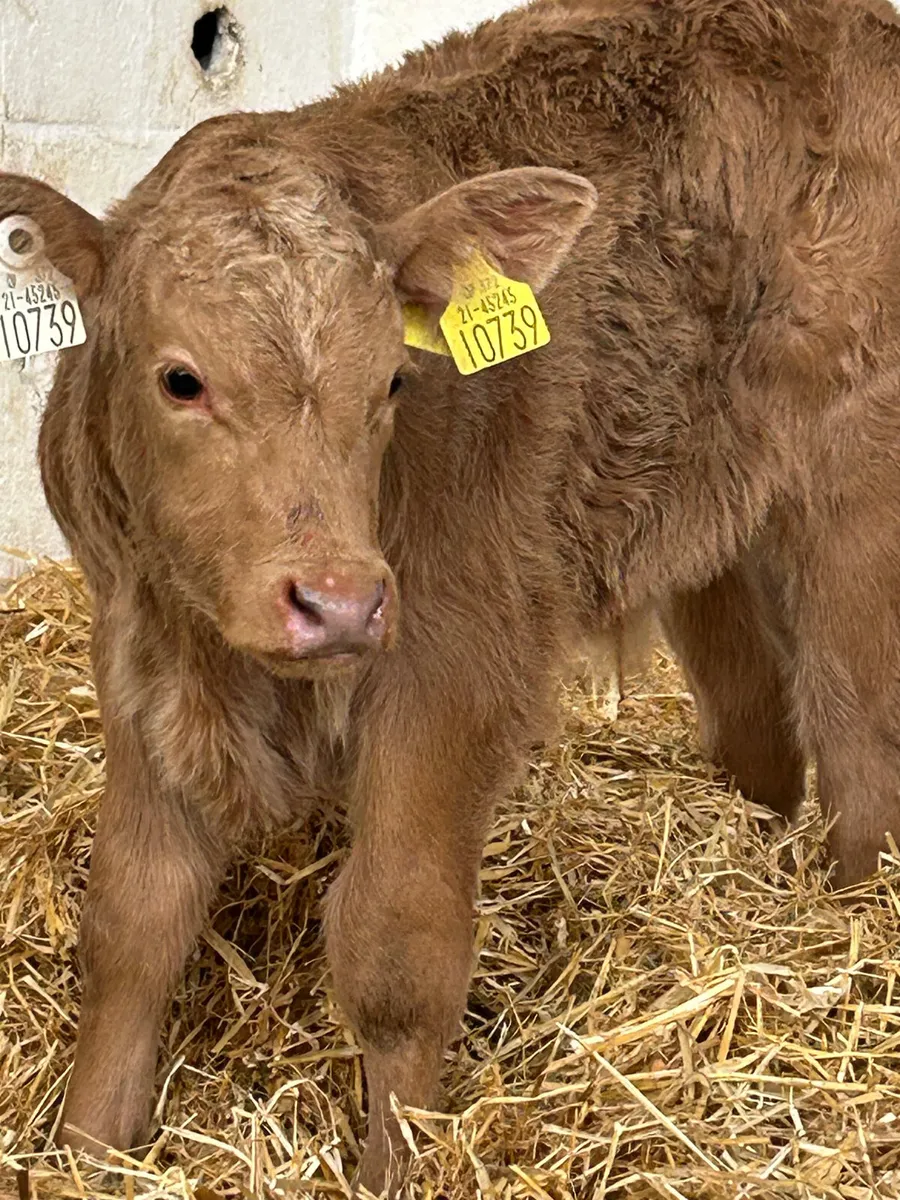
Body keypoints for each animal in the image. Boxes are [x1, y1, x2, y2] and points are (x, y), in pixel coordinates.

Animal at [2, 0, 899, 1190]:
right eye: (179, 379)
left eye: (392, 380)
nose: (336, 602)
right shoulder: (140, 642)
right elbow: (131, 923)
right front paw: (84, 1152)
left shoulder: (454, 658)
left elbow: (394, 942)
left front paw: (399, 1164)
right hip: (712, 516)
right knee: (760, 722)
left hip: (854, 484)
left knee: (859, 743)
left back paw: (848, 944)